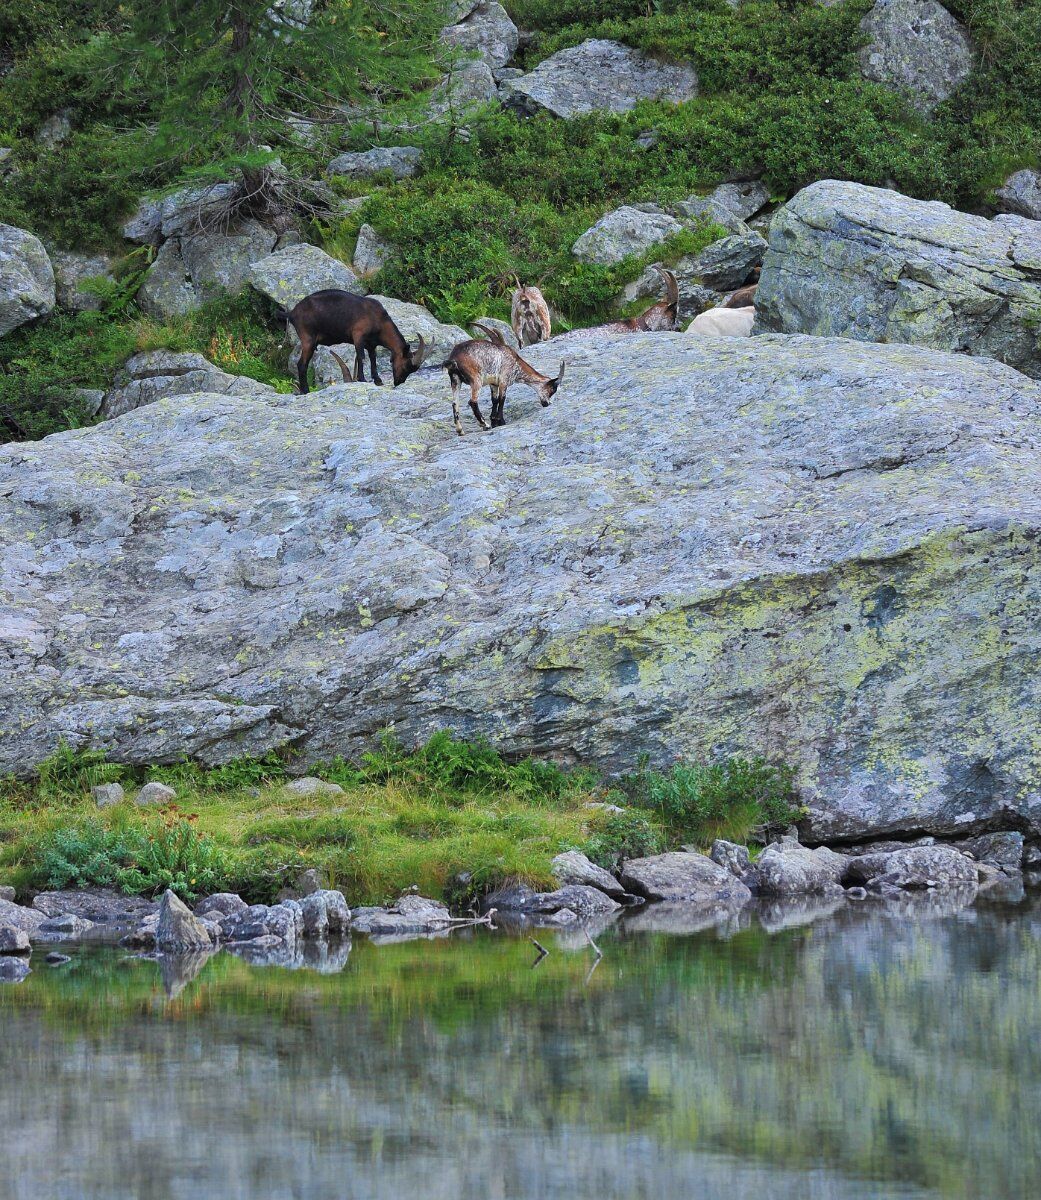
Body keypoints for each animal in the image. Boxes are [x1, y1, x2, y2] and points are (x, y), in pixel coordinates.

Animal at [284, 291, 426, 396]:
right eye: (406, 365)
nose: (398, 382)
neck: (378, 319)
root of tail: (292, 313)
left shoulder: (371, 344)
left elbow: (372, 359)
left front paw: (377, 380)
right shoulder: (358, 336)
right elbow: (361, 357)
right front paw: (362, 378)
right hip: (308, 339)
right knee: (301, 364)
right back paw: (305, 391)